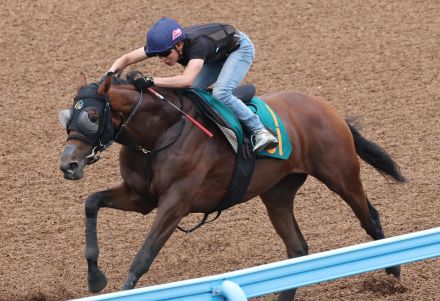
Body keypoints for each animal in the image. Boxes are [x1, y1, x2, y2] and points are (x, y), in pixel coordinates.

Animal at [58, 71, 406, 298]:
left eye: (92, 116)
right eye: (67, 117)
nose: (68, 165)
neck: (161, 133)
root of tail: (327, 108)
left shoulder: (176, 202)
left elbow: (144, 255)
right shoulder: (141, 197)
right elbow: (91, 202)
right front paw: (95, 278)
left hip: (340, 174)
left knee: (370, 217)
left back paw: (394, 273)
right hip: (278, 193)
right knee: (297, 248)